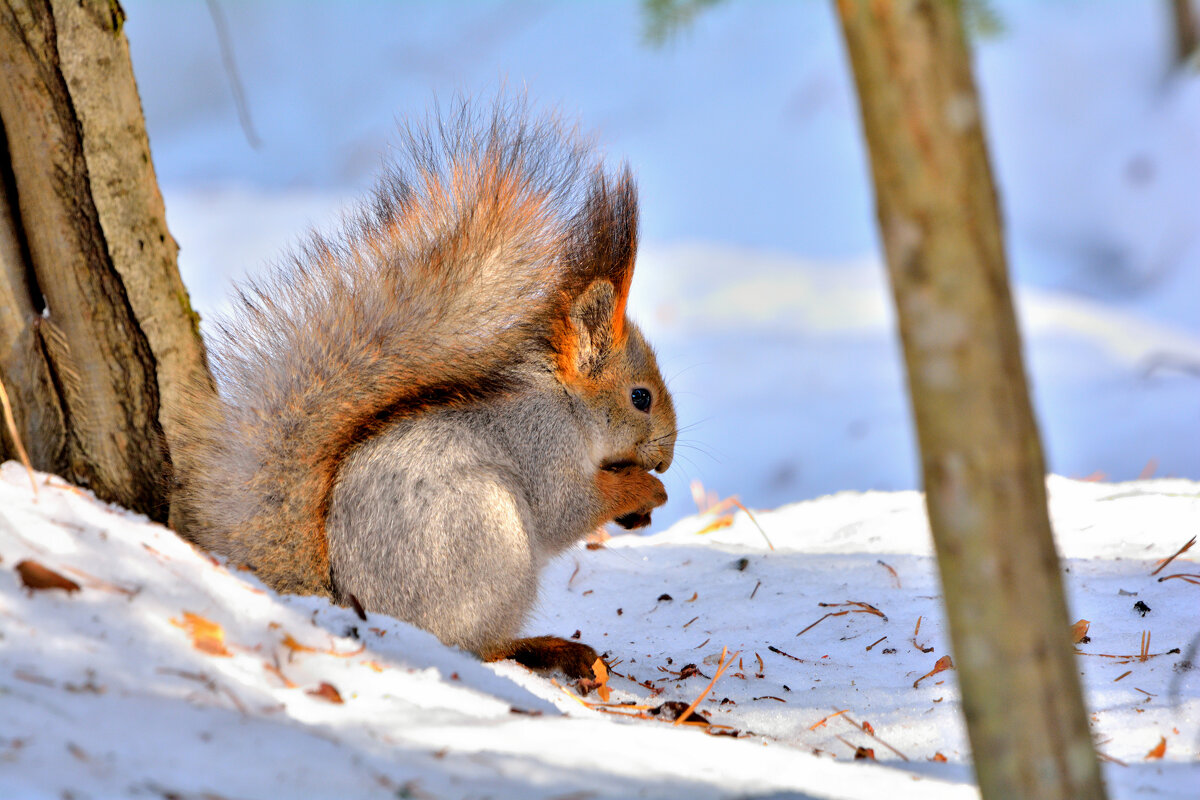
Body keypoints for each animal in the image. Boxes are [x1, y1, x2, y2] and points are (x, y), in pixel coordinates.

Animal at [169, 101, 676, 681]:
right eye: (641, 397)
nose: (667, 459)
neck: (568, 407)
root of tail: (348, 604)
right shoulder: (543, 445)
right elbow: (566, 507)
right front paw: (642, 491)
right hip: (487, 544)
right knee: (475, 645)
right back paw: (543, 648)